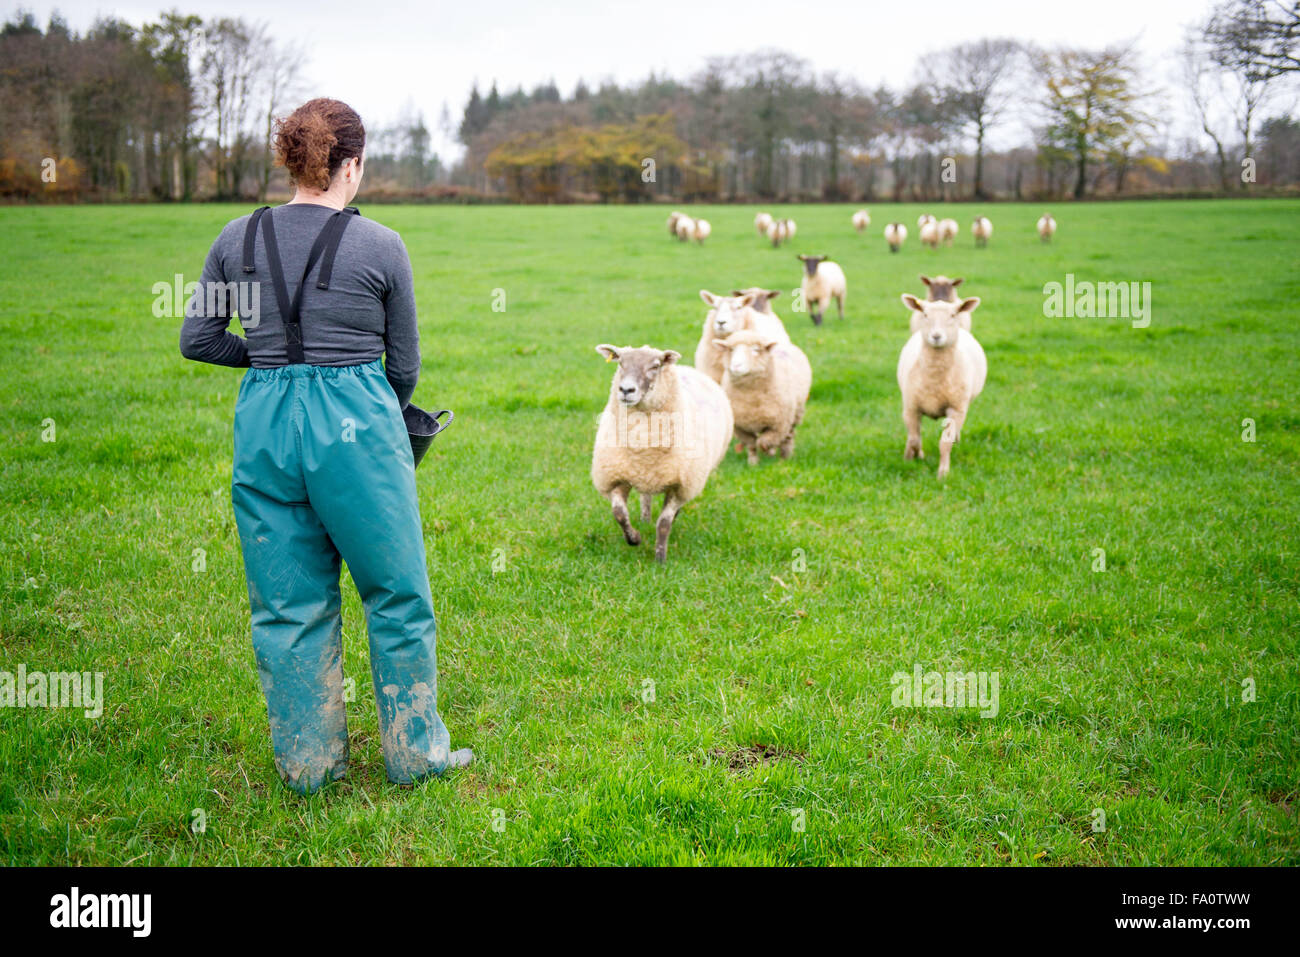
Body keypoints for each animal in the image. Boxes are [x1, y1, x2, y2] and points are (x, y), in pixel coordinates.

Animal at [590, 348, 733, 564]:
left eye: (655, 366)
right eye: (620, 363)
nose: (625, 390)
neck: (643, 449)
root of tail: (688, 368)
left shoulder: (679, 486)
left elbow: (664, 523)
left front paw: (660, 558)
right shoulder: (616, 476)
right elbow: (619, 514)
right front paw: (634, 538)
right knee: (645, 497)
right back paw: (644, 519)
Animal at [899, 293, 987, 478]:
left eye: (953, 315)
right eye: (925, 314)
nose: (936, 336)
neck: (934, 378)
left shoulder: (955, 409)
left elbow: (944, 443)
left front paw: (943, 472)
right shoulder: (911, 407)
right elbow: (914, 439)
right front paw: (912, 457)